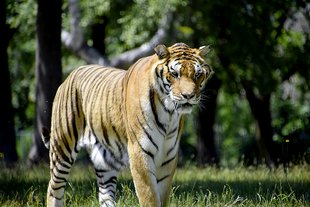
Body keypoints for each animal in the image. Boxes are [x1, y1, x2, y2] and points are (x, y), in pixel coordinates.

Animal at [42, 42, 213, 207]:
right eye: (174, 74)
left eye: (197, 74)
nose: (188, 96)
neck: (169, 113)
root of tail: (73, 73)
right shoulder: (139, 151)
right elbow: (149, 196)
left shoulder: (168, 156)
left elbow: (162, 197)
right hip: (62, 146)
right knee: (53, 188)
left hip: (105, 160)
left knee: (104, 195)